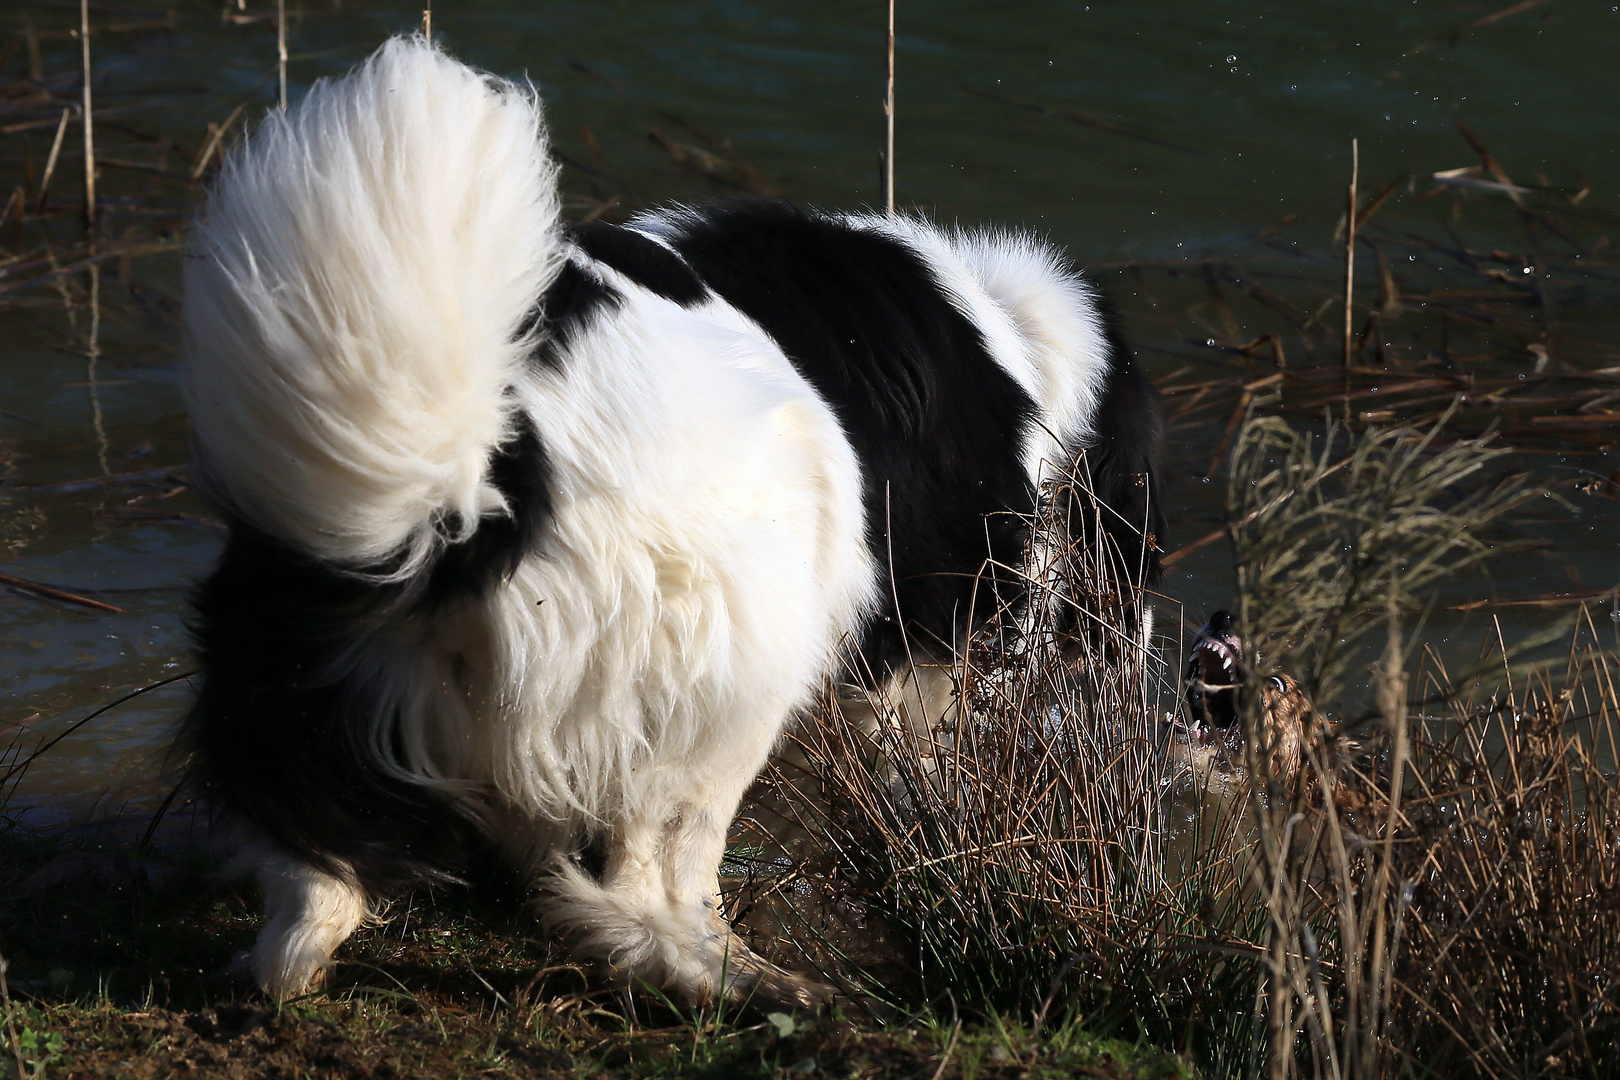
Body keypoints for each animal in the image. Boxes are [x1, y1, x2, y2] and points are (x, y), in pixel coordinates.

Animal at [180, 38, 1166, 1010]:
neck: (1012, 343)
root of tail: (482, 480)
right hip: (733, 654)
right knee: (650, 872)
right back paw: (739, 975)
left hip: (298, 670)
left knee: (311, 884)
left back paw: (291, 960)